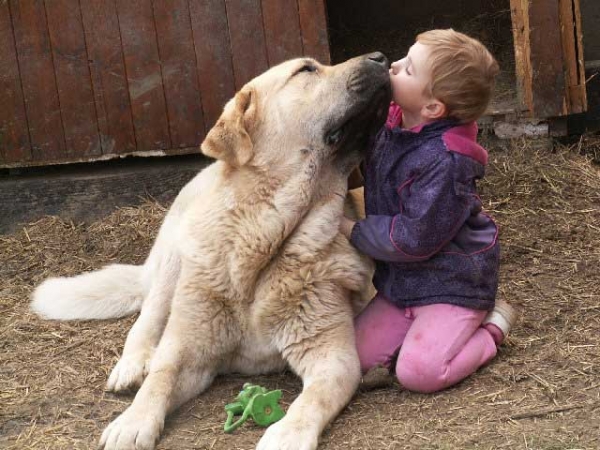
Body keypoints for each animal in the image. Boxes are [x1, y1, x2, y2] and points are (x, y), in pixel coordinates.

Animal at [30, 53, 392, 450]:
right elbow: (161, 376)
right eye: (307, 70)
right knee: (147, 320)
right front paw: (133, 421)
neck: (265, 243)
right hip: (172, 257)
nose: (380, 57)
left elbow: (314, 398)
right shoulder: (188, 346)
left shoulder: (333, 356)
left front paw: (287, 433)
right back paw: (132, 363)